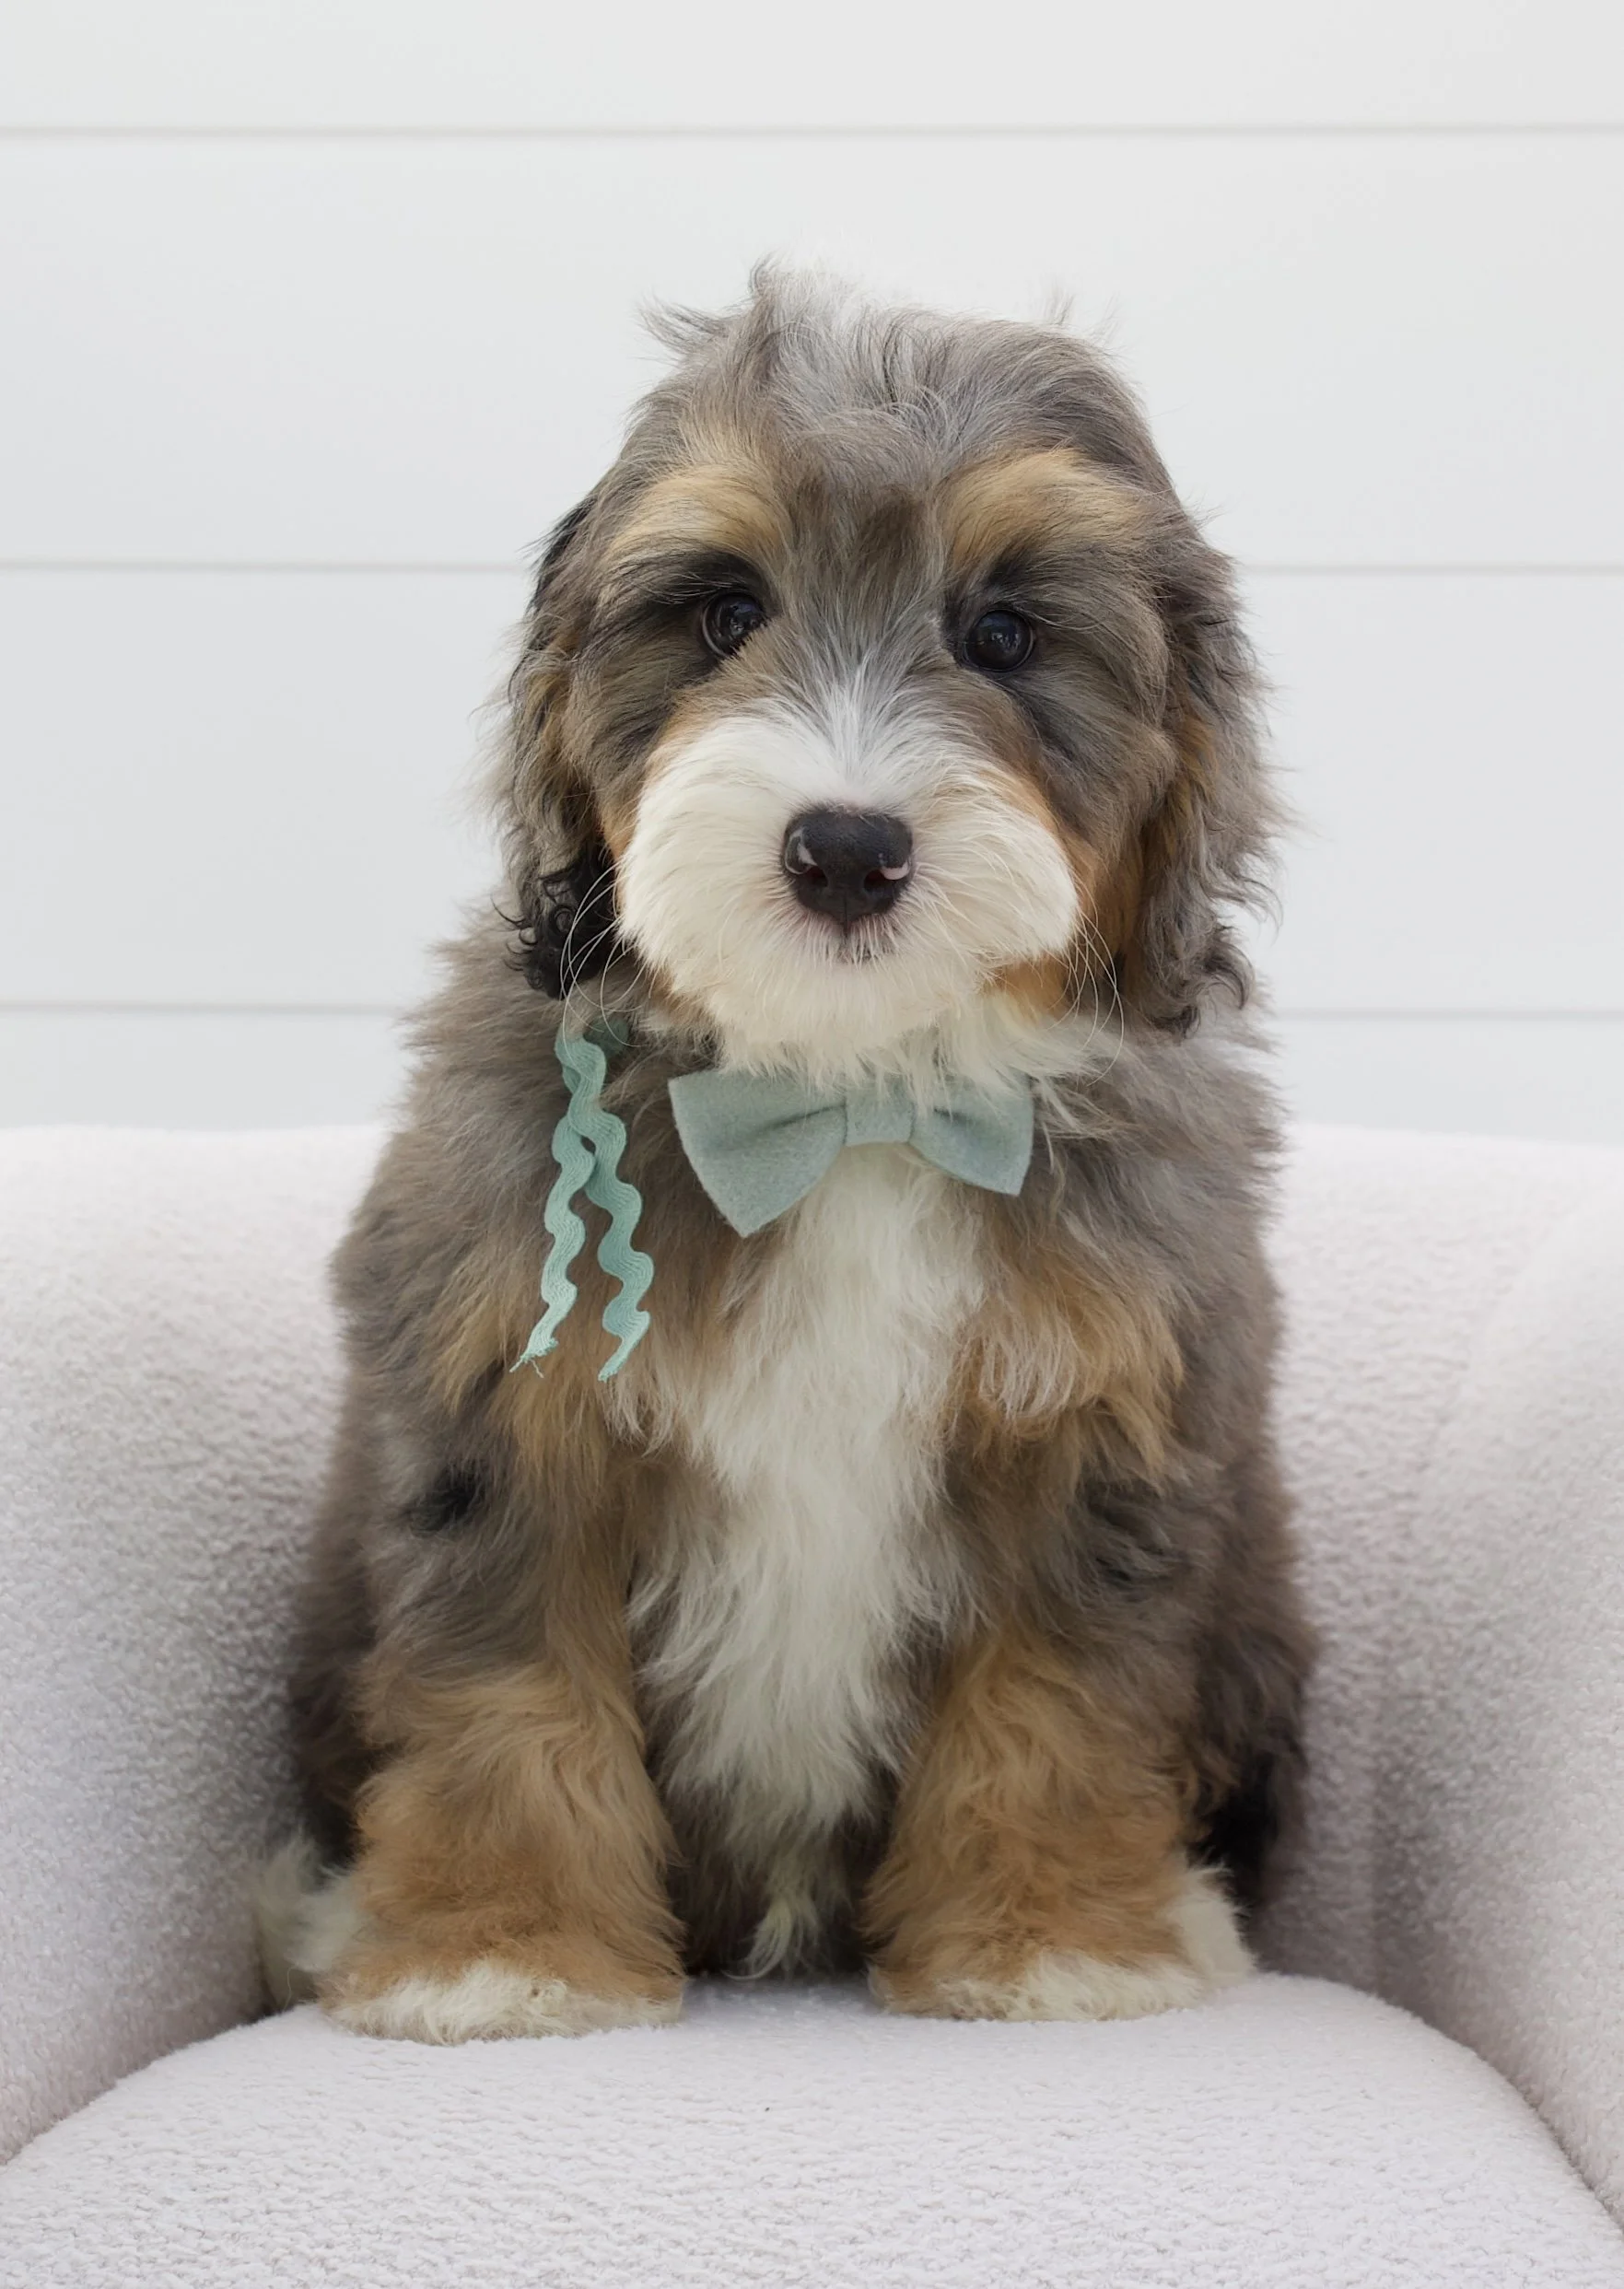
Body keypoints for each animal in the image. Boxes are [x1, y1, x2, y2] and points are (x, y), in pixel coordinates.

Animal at [262, 270, 1311, 2043]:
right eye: (722, 611)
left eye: (1002, 634)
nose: (844, 849)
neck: (848, 1098)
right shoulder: (504, 1400)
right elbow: (502, 1685)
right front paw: (500, 1951)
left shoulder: (1096, 1428)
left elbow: (1057, 1692)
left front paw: (1046, 1942)